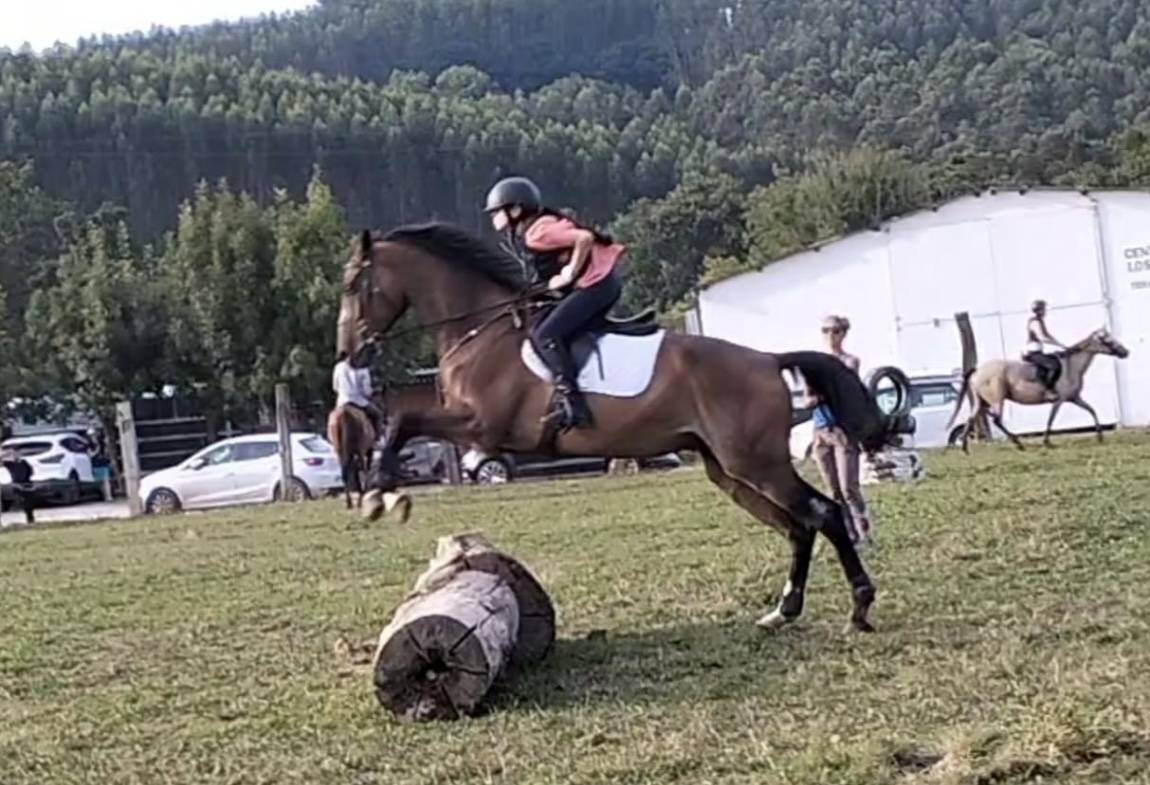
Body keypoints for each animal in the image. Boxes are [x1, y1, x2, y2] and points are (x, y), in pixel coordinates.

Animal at [337, 224, 907, 632]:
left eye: (354, 286)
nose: (348, 353)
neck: (480, 329)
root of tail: (768, 359)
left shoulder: (483, 426)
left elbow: (403, 420)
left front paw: (381, 495)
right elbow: (404, 422)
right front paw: (383, 492)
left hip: (755, 463)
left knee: (823, 513)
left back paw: (859, 607)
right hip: (729, 470)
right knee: (798, 526)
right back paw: (783, 611)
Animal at [947, 328, 1129, 452]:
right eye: (1107, 340)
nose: (1125, 352)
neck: (1071, 366)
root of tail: (977, 370)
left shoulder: (1074, 398)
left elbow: (1092, 410)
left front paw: (1100, 436)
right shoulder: (1059, 400)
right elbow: (1051, 420)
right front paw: (1046, 442)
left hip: (981, 402)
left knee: (971, 419)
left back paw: (965, 448)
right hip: (997, 399)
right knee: (997, 420)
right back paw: (1018, 444)